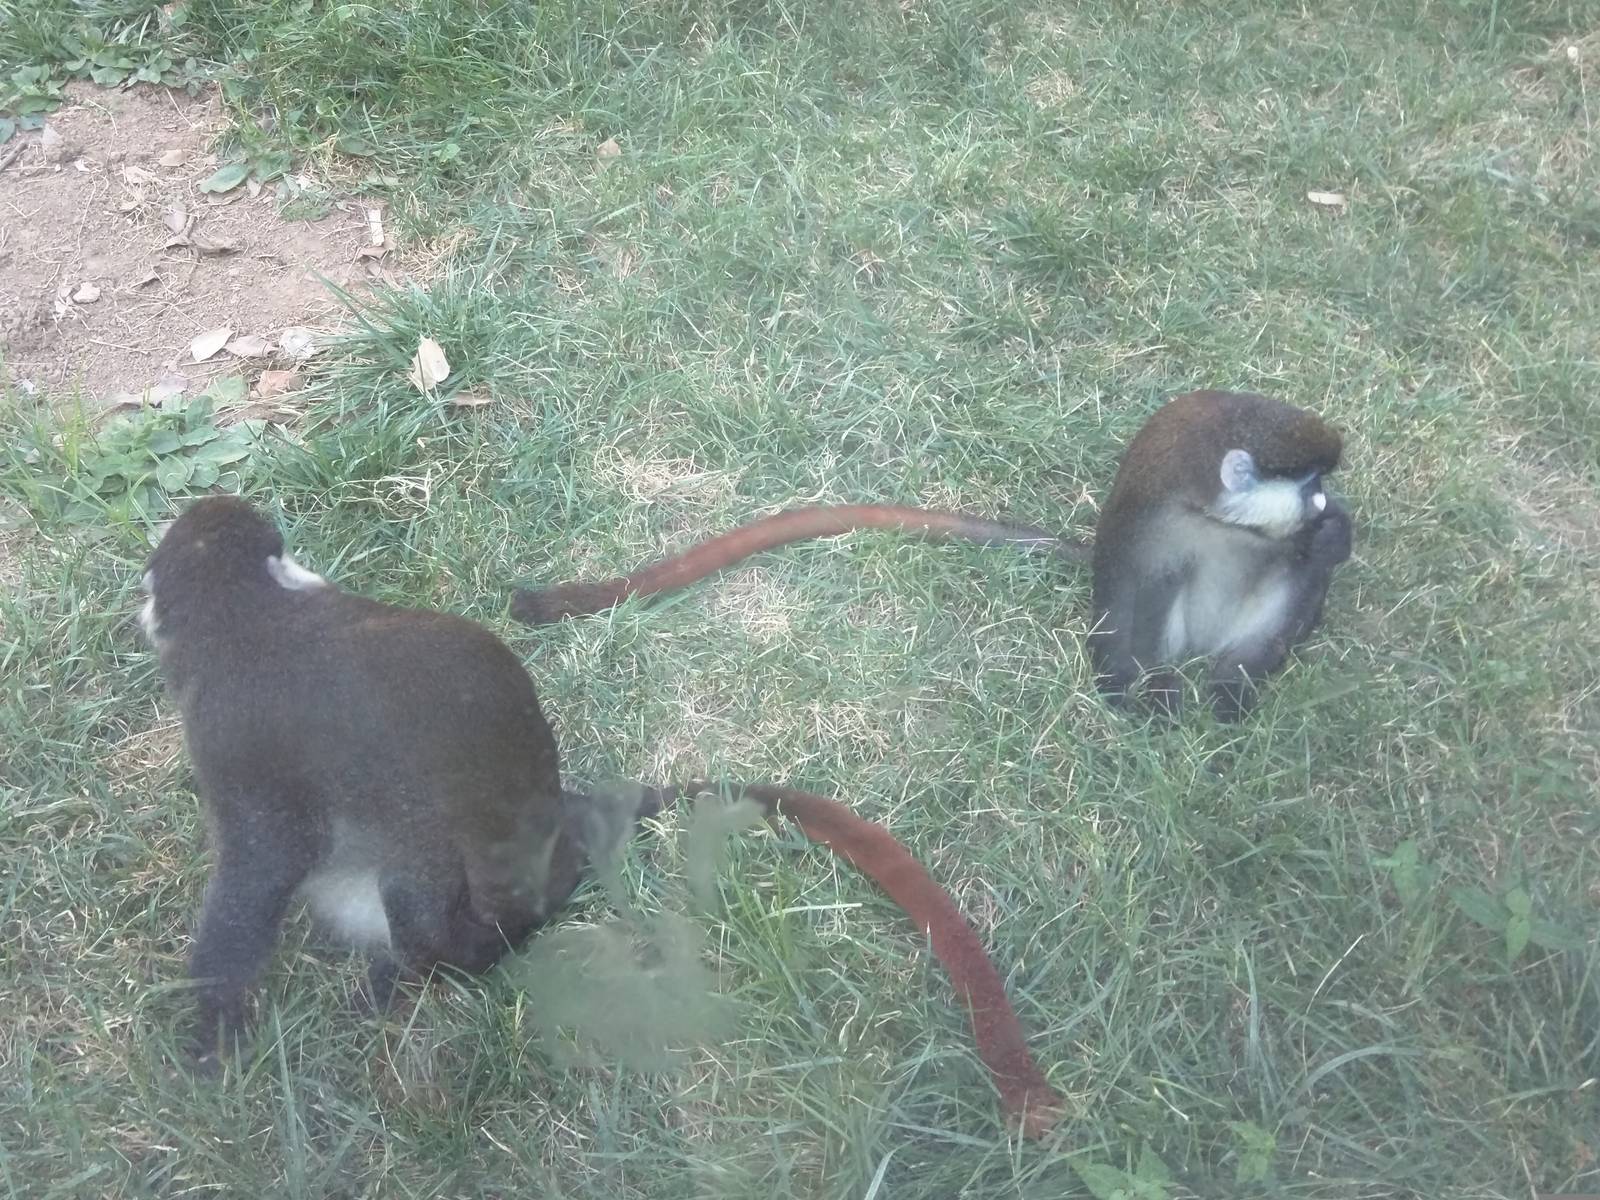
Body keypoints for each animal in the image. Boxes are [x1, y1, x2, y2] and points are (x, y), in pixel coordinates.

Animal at [511, 390, 1352, 718]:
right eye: (1309, 480)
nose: (1324, 503)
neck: (1214, 511)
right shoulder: (1150, 537)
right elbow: (1118, 663)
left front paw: (1332, 538)